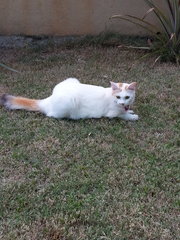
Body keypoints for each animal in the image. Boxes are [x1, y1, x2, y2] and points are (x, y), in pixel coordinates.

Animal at [0, 78, 139, 121]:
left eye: (127, 97)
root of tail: (48, 100)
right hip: (69, 103)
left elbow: (125, 111)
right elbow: (122, 115)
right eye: (118, 97)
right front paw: (132, 116)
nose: (122, 102)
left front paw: (129, 110)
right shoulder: (111, 114)